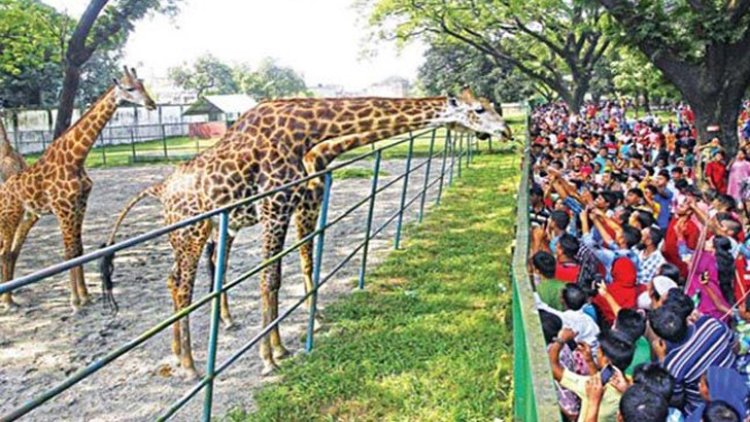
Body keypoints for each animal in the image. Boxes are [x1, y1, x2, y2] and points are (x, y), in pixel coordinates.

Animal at [0, 66, 156, 310]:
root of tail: (4, 189)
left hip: (26, 215)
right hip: (11, 213)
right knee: (5, 251)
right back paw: (7, 300)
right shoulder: (64, 209)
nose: (151, 104)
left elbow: (79, 251)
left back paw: (10, 295)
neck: (76, 159)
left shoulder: (79, 206)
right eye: (129, 88)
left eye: (142, 85)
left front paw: (85, 296)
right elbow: (69, 253)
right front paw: (75, 301)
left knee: (10, 250)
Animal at [100, 87, 512, 378]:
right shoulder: (275, 207)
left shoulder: (298, 204)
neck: (308, 132)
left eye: (494, 106)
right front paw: (269, 358)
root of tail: (161, 189)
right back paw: (188, 364)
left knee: (183, 278)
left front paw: (287, 343)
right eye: (479, 110)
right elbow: (271, 279)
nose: (506, 131)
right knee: (182, 285)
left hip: (204, 231)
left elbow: (296, 267)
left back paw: (185, 351)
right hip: (190, 232)